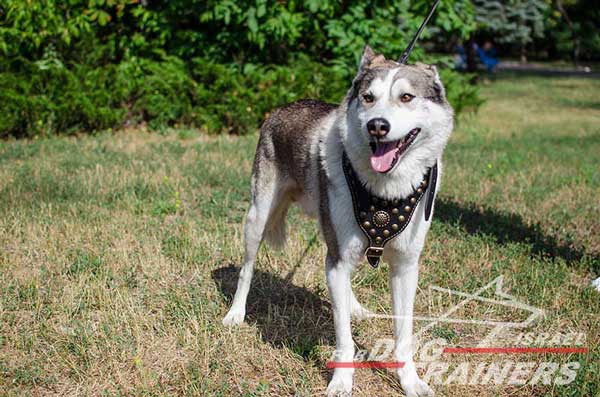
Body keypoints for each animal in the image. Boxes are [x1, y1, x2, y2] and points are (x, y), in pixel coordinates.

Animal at [223, 44, 452, 394]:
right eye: (369, 98)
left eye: (406, 97)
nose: (377, 125)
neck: (385, 190)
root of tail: (283, 107)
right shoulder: (339, 258)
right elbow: (343, 336)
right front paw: (342, 382)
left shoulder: (405, 266)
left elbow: (404, 335)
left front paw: (410, 382)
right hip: (258, 217)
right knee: (247, 269)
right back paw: (236, 313)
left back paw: (355, 306)